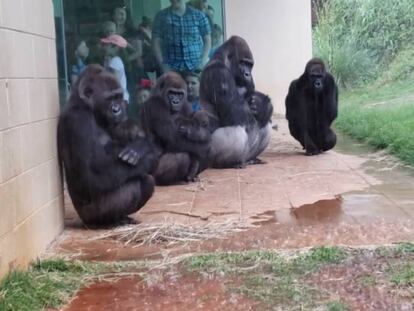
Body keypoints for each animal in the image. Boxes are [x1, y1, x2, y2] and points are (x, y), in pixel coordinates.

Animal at [56, 65, 157, 227]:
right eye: (109, 98)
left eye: (118, 97)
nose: (117, 109)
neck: (85, 105)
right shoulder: (78, 120)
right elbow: (92, 174)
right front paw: (146, 157)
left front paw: (140, 146)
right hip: (90, 216)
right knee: (139, 184)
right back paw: (109, 222)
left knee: (147, 182)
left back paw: (123, 218)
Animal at [200, 35, 274, 169]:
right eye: (242, 63)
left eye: (250, 65)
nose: (247, 74)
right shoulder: (219, 73)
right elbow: (238, 112)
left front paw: (263, 105)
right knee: (237, 130)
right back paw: (227, 163)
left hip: (247, 154)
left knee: (265, 122)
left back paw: (253, 159)